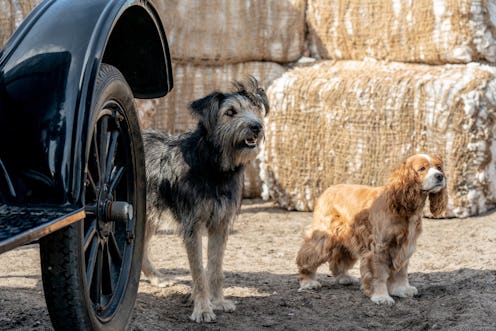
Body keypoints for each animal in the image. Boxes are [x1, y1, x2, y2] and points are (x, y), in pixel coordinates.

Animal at [141, 76, 270, 322]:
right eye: (230, 112)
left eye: (254, 110)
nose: (256, 126)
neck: (213, 166)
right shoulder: (193, 225)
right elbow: (199, 271)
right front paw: (202, 309)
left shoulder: (220, 224)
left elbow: (215, 267)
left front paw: (218, 301)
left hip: (149, 215)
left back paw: (157, 278)